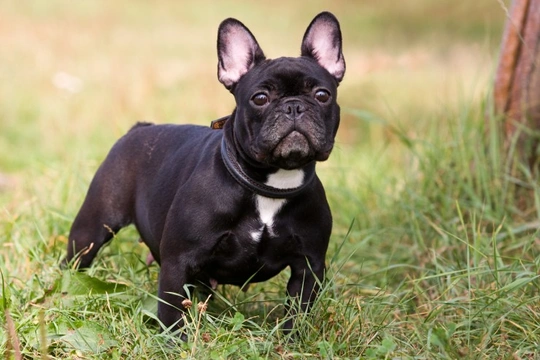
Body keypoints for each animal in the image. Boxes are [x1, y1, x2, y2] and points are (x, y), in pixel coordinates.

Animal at [66, 11, 346, 336]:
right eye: (260, 98)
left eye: (322, 94)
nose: (294, 107)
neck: (270, 185)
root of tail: (140, 128)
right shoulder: (178, 262)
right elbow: (172, 311)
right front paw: (174, 341)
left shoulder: (309, 266)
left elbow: (298, 312)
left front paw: (291, 341)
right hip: (93, 228)